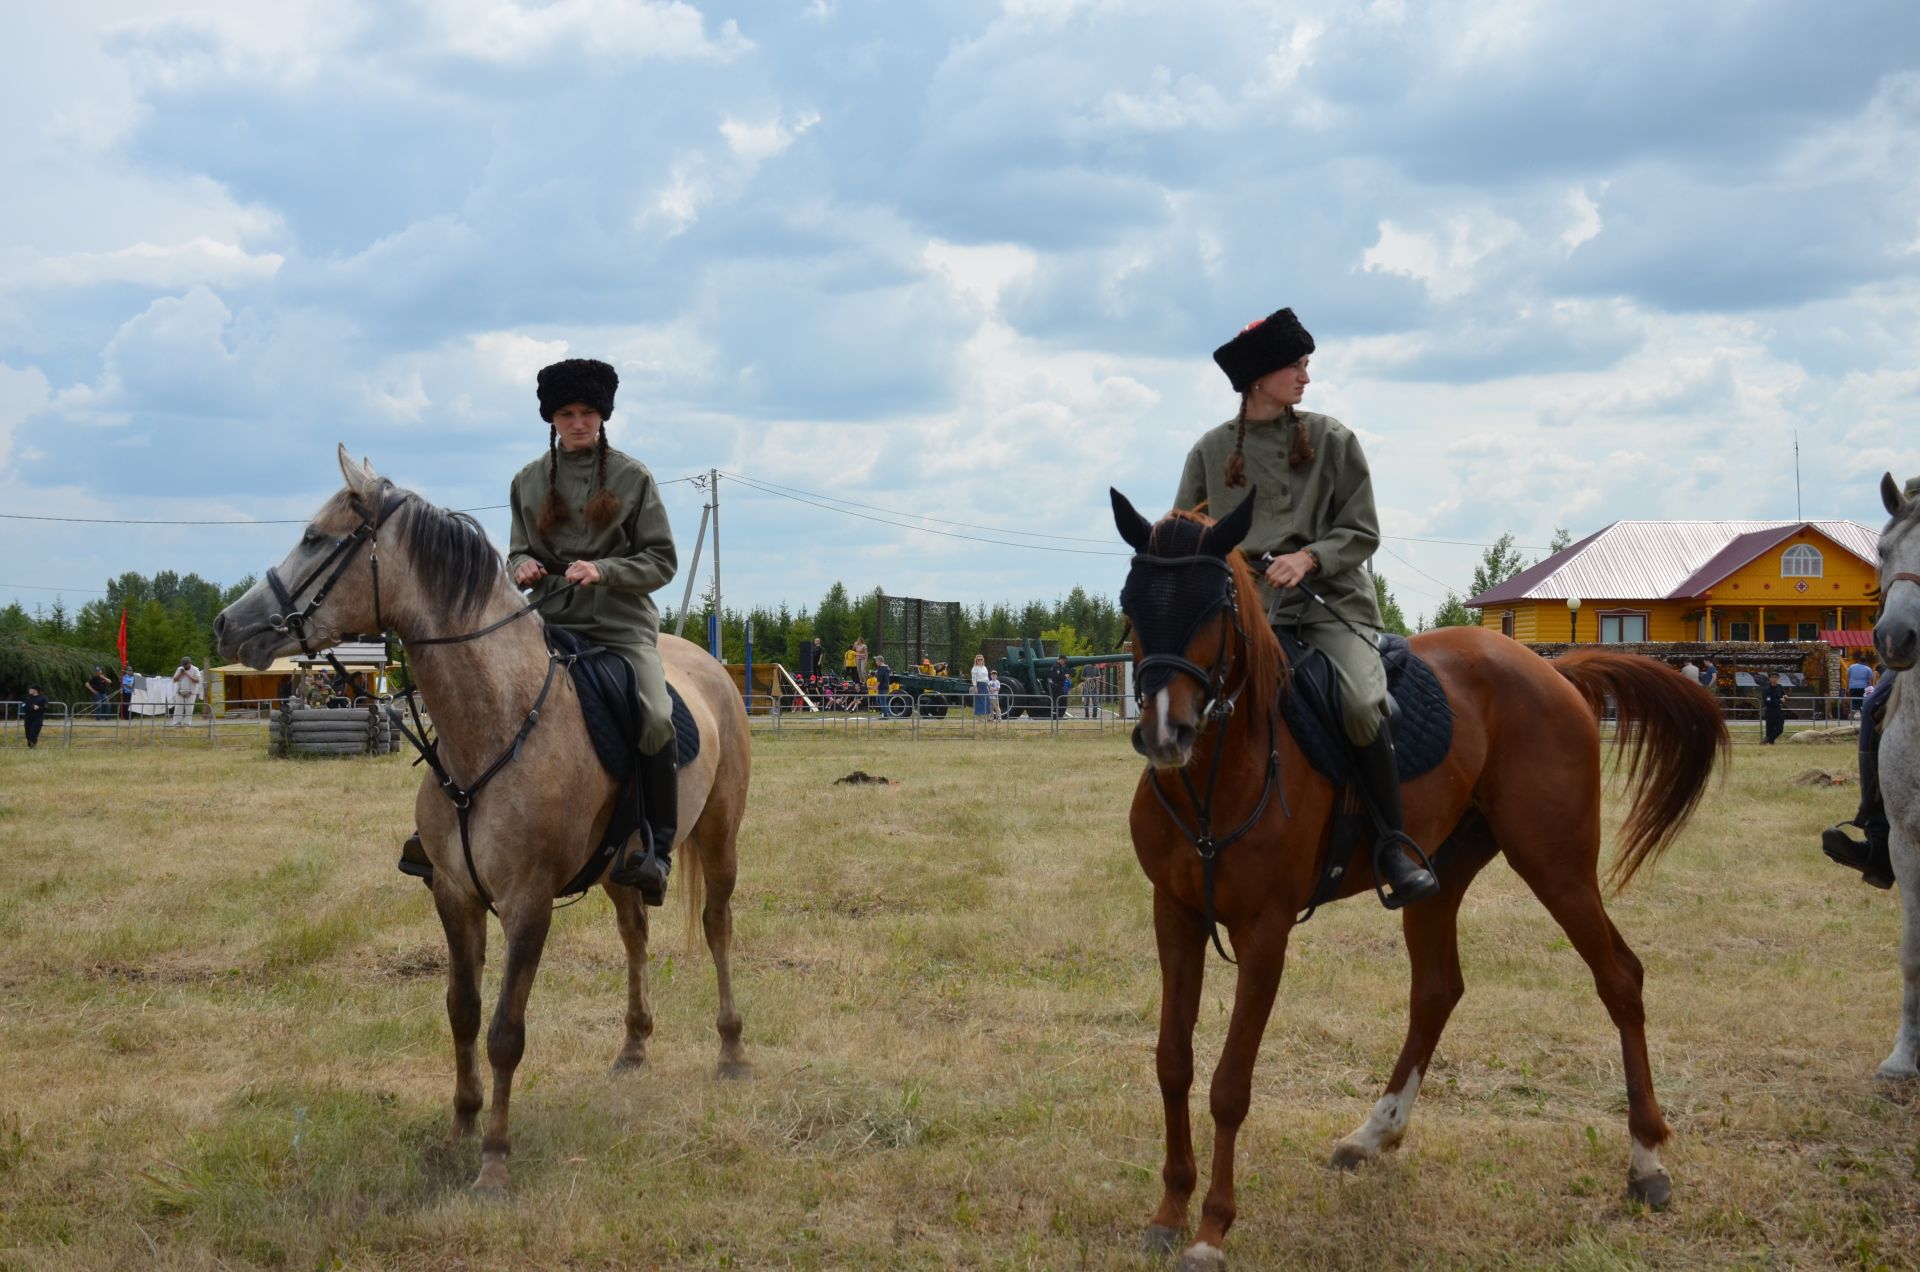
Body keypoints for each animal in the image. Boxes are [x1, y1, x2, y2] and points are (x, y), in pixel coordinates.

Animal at [1113, 491, 1728, 1268]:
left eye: (1215, 606)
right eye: (1133, 600)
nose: (1166, 733)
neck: (1221, 772)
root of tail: (1554, 670)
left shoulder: (1264, 934)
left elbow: (1229, 1083)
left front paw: (1212, 1229)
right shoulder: (1175, 914)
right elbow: (1173, 1061)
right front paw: (1169, 1209)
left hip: (1556, 866)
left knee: (1620, 977)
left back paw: (1646, 1160)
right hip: (1442, 875)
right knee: (1437, 991)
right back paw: (1375, 1133)